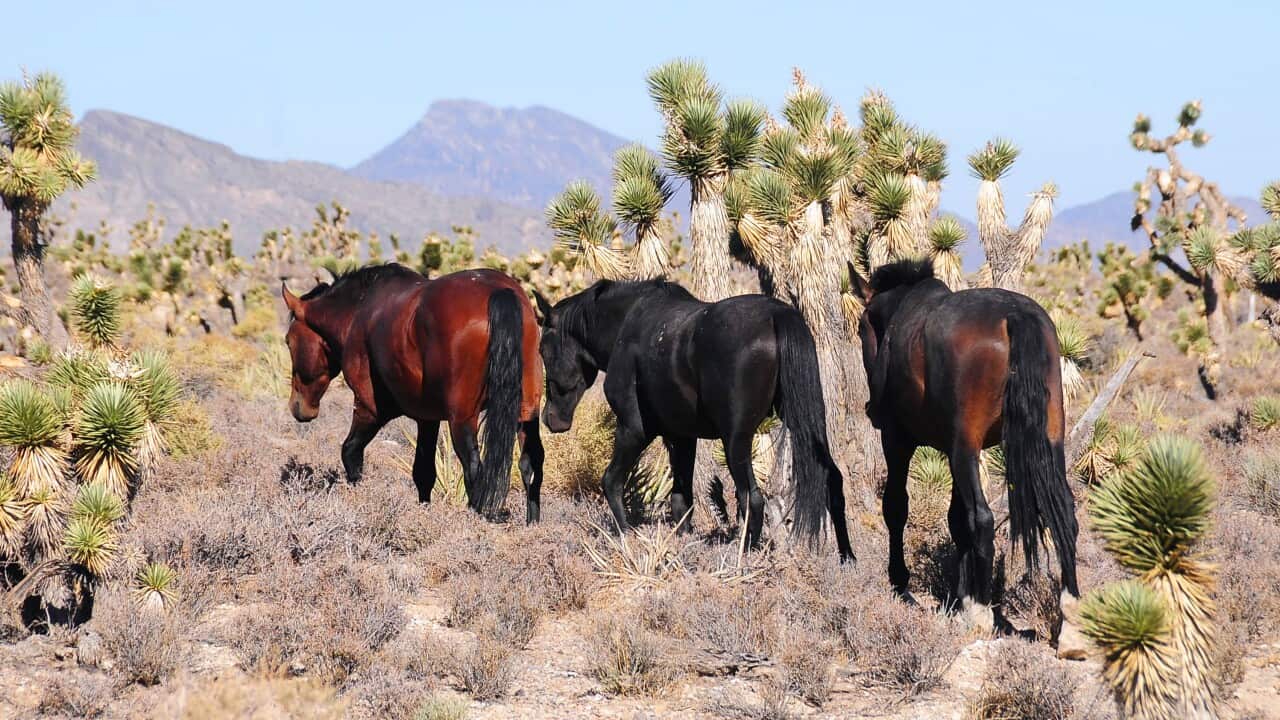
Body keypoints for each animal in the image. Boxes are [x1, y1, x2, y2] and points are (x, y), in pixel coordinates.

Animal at [281, 264, 545, 521]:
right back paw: (532, 525)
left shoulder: (370, 409)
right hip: (525, 413)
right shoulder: (427, 419)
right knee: (530, 463)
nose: (298, 407)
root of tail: (499, 292)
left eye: (288, 341)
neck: (359, 311)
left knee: (474, 469)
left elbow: (350, 452)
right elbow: (424, 473)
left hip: (462, 420)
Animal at [533, 279, 854, 561]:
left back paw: (745, 557)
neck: (626, 325)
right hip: (804, 424)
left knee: (751, 497)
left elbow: (611, 481)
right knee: (832, 479)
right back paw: (846, 557)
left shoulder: (633, 429)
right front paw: (683, 540)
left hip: (736, 440)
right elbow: (681, 499)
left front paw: (625, 538)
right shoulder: (682, 437)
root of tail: (777, 315)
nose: (550, 419)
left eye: (542, 350)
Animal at [847, 258, 1080, 637]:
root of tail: (1015, 316)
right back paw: (1071, 617)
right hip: (1046, 439)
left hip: (963, 449)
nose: (872, 409)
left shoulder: (899, 440)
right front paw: (959, 597)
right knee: (1064, 513)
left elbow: (896, 507)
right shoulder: (956, 449)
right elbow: (956, 519)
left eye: (860, 327)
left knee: (983, 518)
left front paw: (901, 583)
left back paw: (981, 613)